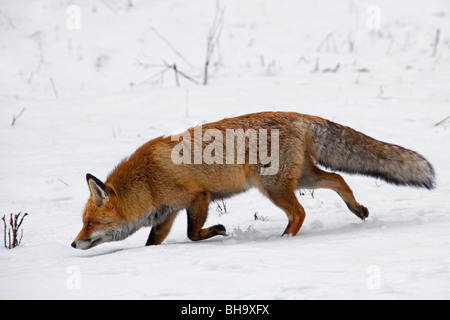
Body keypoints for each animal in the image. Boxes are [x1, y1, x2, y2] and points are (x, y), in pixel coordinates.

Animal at [71, 112, 436, 250]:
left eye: (90, 223)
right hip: (302, 178)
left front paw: (217, 231)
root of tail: (301, 116)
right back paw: (358, 210)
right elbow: (153, 242)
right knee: (338, 178)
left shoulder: (197, 197)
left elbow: (192, 234)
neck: (145, 181)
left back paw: (284, 239)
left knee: (300, 213)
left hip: (273, 186)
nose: (74, 244)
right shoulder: (169, 212)